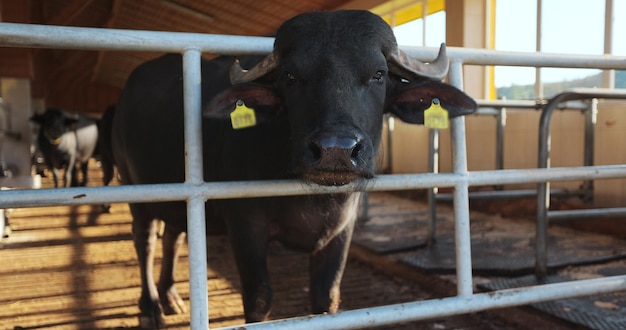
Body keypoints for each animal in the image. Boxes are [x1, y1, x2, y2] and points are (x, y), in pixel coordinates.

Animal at [112, 9, 476, 328]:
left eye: (379, 74)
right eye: (290, 76)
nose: (335, 150)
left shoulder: (341, 230)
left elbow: (326, 298)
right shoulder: (245, 224)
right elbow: (259, 299)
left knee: (172, 235)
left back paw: (170, 296)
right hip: (133, 186)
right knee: (145, 239)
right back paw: (150, 307)